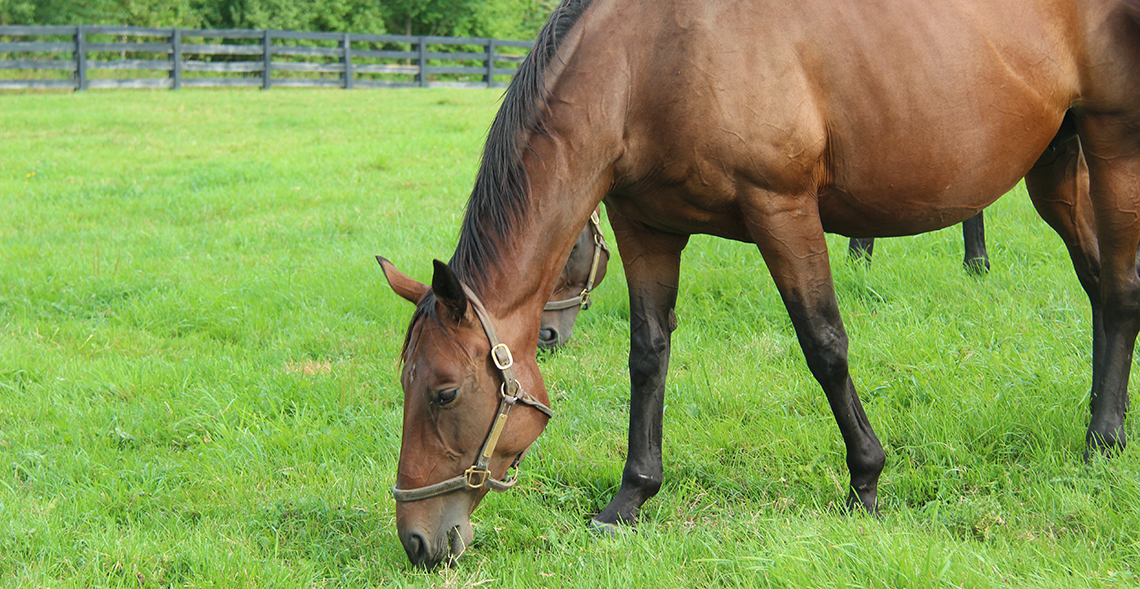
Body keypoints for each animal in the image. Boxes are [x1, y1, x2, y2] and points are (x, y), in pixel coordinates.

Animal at [380, 1, 1140, 569]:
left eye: (445, 392)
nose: (418, 541)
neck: (648, 63)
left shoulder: (783, 209)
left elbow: (824, 344)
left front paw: (866, 481)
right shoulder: (646, 226)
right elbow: (648, 356)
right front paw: (630, 498)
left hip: (1113, 146)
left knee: (1121, 291)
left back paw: (1102, 440)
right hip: (1055, 162)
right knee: (1098, 285)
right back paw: (1102, 424)